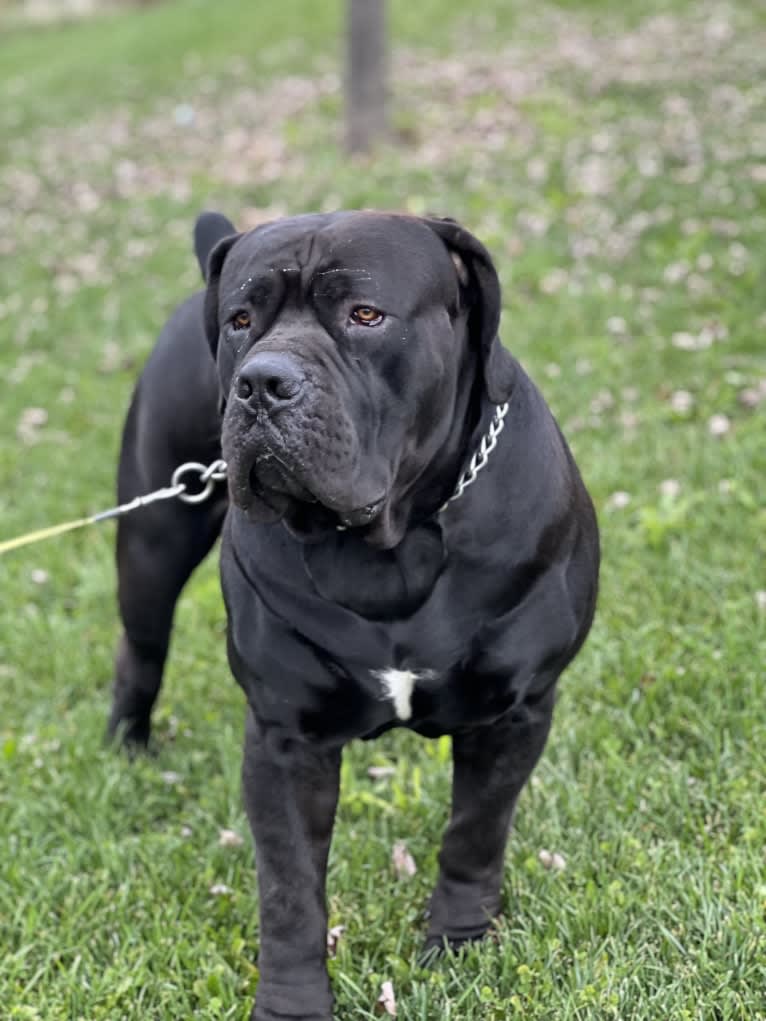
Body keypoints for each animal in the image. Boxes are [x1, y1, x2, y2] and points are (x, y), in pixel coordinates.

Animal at [109, 209, 600, 1021]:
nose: (261, 382)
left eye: (365, 315)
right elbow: (289, 889)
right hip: (152, 540)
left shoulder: (517, 712)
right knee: (140, 651)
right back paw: (127, 748)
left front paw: (458, 942)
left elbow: (475, 832)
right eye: (242, 320)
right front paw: (293, 1004)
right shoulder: (285, 737)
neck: (392, 545)